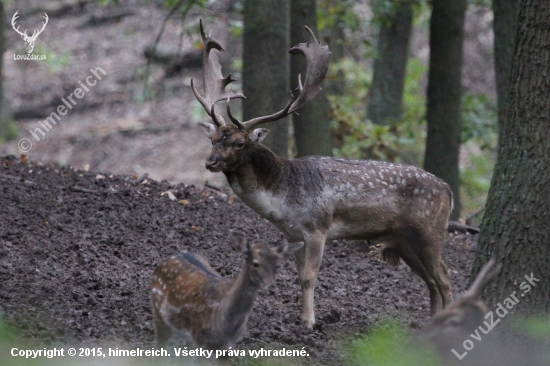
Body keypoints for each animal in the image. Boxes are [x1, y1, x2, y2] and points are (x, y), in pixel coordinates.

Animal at [151, 232, 304, 352]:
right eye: (256, 263)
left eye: (277, 266)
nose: (272, 288)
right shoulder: (201, 338)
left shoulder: (227, 346)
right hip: (159, 315)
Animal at [192, 20, 454, 328]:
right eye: (213, 140)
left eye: (239, 143)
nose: (210, 162)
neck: (283, 199)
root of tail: (448, 190)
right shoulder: (293, 235)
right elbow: (297, 276)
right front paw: (301, 317)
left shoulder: (318, 228)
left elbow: (309, 277)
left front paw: (308, 322)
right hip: (404, 240)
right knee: (432, 281)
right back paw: (432, 324)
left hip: (430, 231)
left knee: (445, 278)